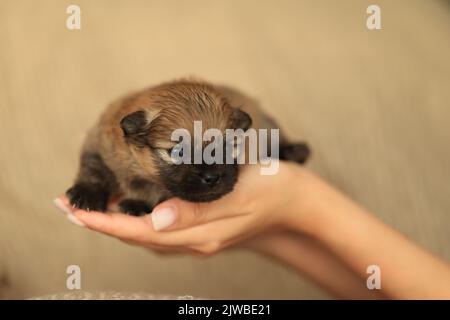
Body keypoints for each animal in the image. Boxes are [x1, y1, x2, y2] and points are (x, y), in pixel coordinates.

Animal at [66, 79, 310, 216]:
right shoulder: (100, 144)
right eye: (178, 152)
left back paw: (293, 151)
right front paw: (87, 194)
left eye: (228, 147)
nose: (212, 178)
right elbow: (95, 170)